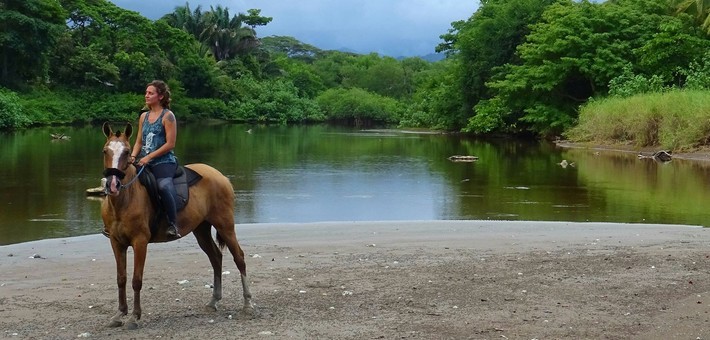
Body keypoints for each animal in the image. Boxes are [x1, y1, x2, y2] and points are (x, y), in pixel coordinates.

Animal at [99, 122, 256, 330]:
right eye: (105, 151)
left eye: (126, 152)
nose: (113, 184)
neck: (125, 199)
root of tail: (220, 176)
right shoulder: (117, 243)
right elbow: (121, 279)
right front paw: (119, 314)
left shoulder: (140, 242)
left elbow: (136, 280)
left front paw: (134, 317)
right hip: (201, 230)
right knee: (216, 258)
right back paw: (213, 301)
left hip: (225, 225)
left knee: (239, 258)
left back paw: (247, 305)